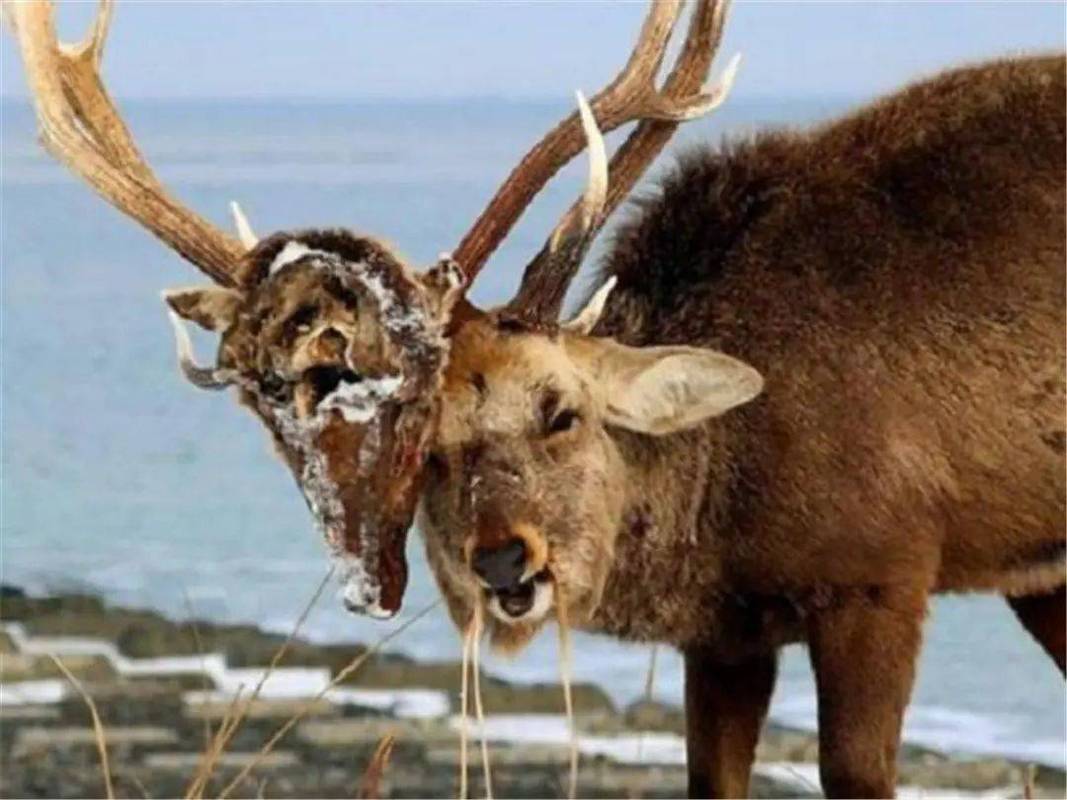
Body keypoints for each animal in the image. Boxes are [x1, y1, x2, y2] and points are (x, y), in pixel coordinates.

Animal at [8, 0, 1065, 797]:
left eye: (562, 410)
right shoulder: (724, 635)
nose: (504, 561)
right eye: (425, 448)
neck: (726, 501)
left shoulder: (880, 573)